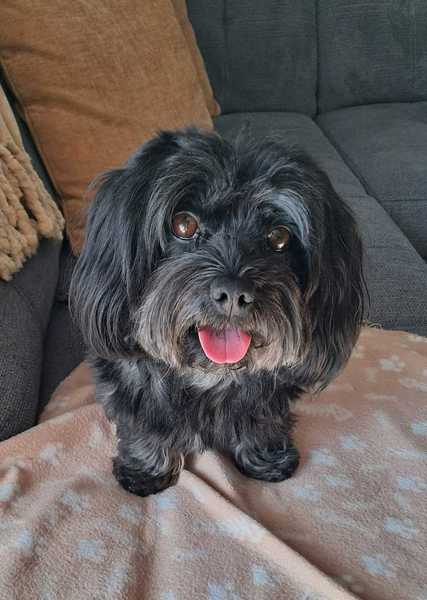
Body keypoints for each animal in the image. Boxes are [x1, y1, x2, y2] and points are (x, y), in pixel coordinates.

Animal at [70, 127, 365, 497]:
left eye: (279, 236)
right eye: (183, 224)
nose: (235, 294)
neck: (209, 377)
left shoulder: (268, 399)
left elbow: (263, 422)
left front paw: (266, 457)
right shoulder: (133, 386)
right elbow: (145, 425)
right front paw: (147, 469)